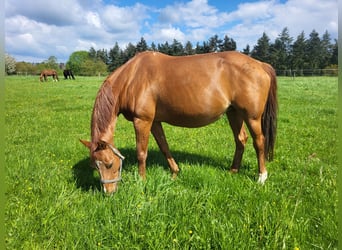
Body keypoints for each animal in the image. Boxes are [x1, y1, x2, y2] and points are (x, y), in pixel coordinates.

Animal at [81, 50, 278, 194]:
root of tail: (260, 64)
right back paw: (233, 171)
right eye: (94, 166)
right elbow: (164, 146)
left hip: (251, 117)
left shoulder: (142, 121)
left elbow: (141, 153)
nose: (109, 192)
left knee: (259, 141)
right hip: (234, 113)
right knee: (241, 139)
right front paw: (175, 172)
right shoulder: (155, 122)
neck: (131, 78)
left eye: (109, 163)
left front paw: (142, 180)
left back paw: (262, 176)